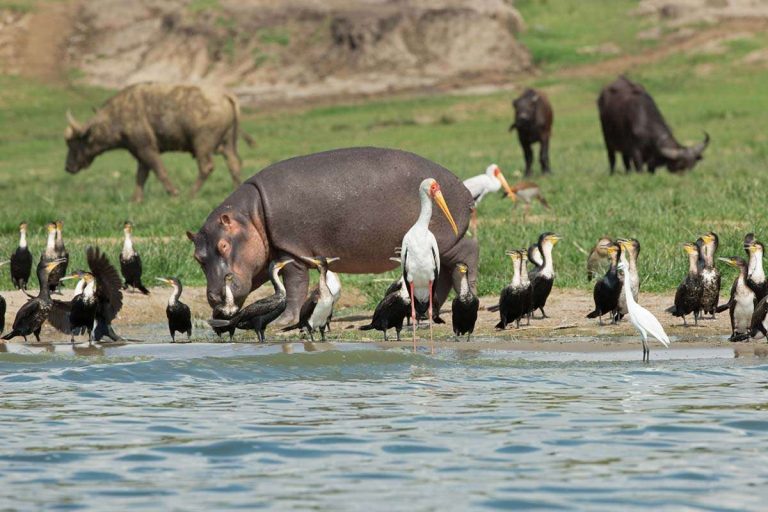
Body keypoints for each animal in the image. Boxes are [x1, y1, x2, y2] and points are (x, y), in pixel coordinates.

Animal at [187, 147, 478, 325]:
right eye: (197, 257)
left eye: (224, 245)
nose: (214, 298)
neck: (251, 218)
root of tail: (463, 189)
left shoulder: (292, 250)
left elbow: (294, 286)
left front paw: (283, 321)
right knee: (444, 272)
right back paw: (432, 311)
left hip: (442, 240)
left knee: (468, 251)